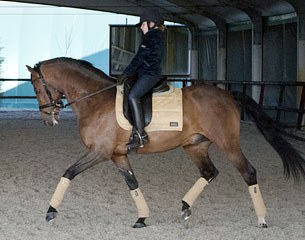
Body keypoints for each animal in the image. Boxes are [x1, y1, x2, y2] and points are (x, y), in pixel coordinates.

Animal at [26, 57, 304, 228]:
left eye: (37, 88)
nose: (47, 119)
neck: (95, 99)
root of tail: (227, 95)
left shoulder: (100, 152)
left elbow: (69, 173)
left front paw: (50, 212)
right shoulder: (117, 155)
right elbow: (133, 184)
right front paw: (142, 218)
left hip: (228, 143)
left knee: (249, 172)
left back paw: (262, 220)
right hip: (195, 146)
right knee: (209, 172)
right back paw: (185, 207)